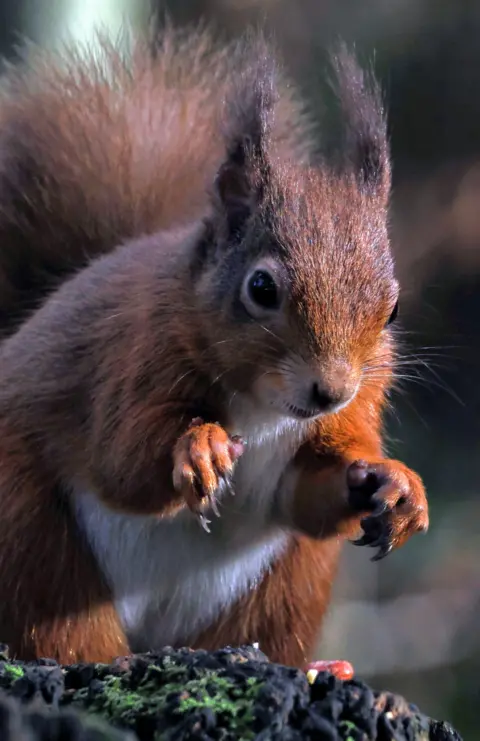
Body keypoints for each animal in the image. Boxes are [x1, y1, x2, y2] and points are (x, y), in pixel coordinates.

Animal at [0, 27, 430, 664]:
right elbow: (122, 462)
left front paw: (395, 483)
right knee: (62, 630)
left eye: (393, 309)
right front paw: (199, 446)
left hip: (282, 590)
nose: (331, 392)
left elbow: (307, 496)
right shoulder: (134, 355)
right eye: (261, 288)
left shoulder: (351, 412)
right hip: (29, 536)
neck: (265, 410)